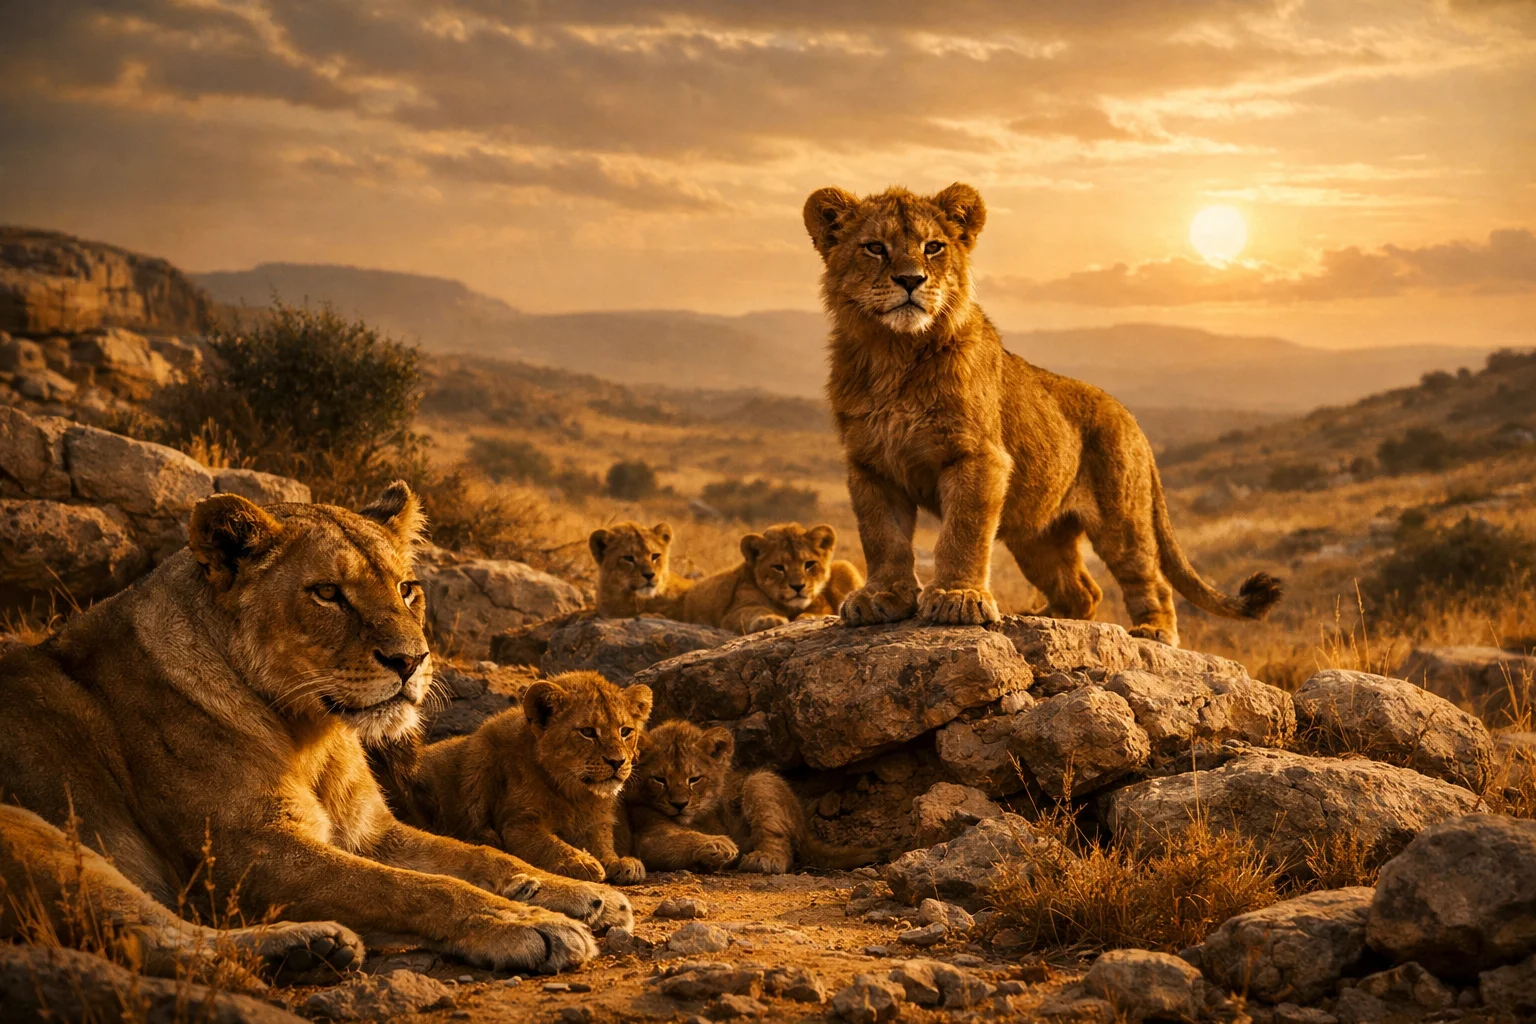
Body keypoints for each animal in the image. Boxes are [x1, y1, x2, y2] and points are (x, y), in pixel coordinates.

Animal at [371, 670, 652, 886]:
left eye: (625, 731)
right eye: (588, 732)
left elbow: (603, 843)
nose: (617, 762)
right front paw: (580, 861)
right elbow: (548, 843)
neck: (576, 794)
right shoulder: (517, 823)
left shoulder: (597, 821)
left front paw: (620, 862)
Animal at [619, 720, 879, 874]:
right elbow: (681, 838)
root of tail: (805, 824)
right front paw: (719, 845)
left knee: (782, 845)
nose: (679, 804)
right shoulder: (647, 837)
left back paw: (765, 859)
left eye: (694, 779)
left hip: (761, 780)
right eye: (659, 779)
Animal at [679, 523, 864, 634]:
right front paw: (769, 619)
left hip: (844, 565)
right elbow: (752, 611)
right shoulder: (733, 612)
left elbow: (820, 612)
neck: (788, 607)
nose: (798, 587)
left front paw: (809, 617)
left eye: (809, 564)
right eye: (778, 567)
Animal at [802, 183, 1282, 646]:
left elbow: (962, 531)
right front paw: (881, 597)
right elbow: (883, 537)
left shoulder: (979, 457)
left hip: (1121, 518)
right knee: (1084, 591)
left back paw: (1154, 631)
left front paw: (958, 597)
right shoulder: (871, 464)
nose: (909, 280)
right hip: (1036, 534)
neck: (893, 354)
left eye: (933, 247)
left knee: (1148, 578)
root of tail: (1130, 418)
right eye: (874, 248)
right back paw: (1042, 616)